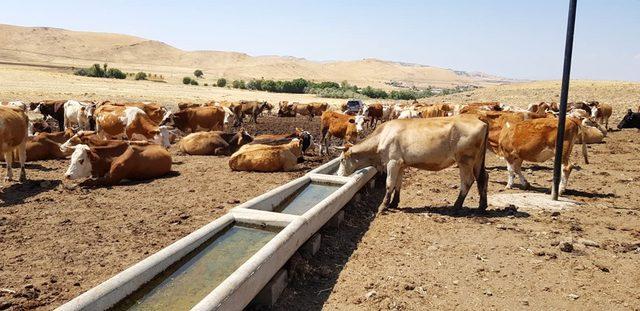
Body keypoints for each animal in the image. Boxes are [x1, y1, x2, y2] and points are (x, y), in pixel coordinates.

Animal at [336, 114, 490, 214]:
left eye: (342, 160)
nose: (338, 174)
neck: (382, 137)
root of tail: (478, 119)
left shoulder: (393, 162)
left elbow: (389, 184)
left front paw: (383, 206)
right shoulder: (401, 164)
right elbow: (398, 184)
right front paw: (394, 203)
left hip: (465, 160)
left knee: (468, 181)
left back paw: (456, 207)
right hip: (477, 160)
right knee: (483, 177)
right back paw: (482, 206)